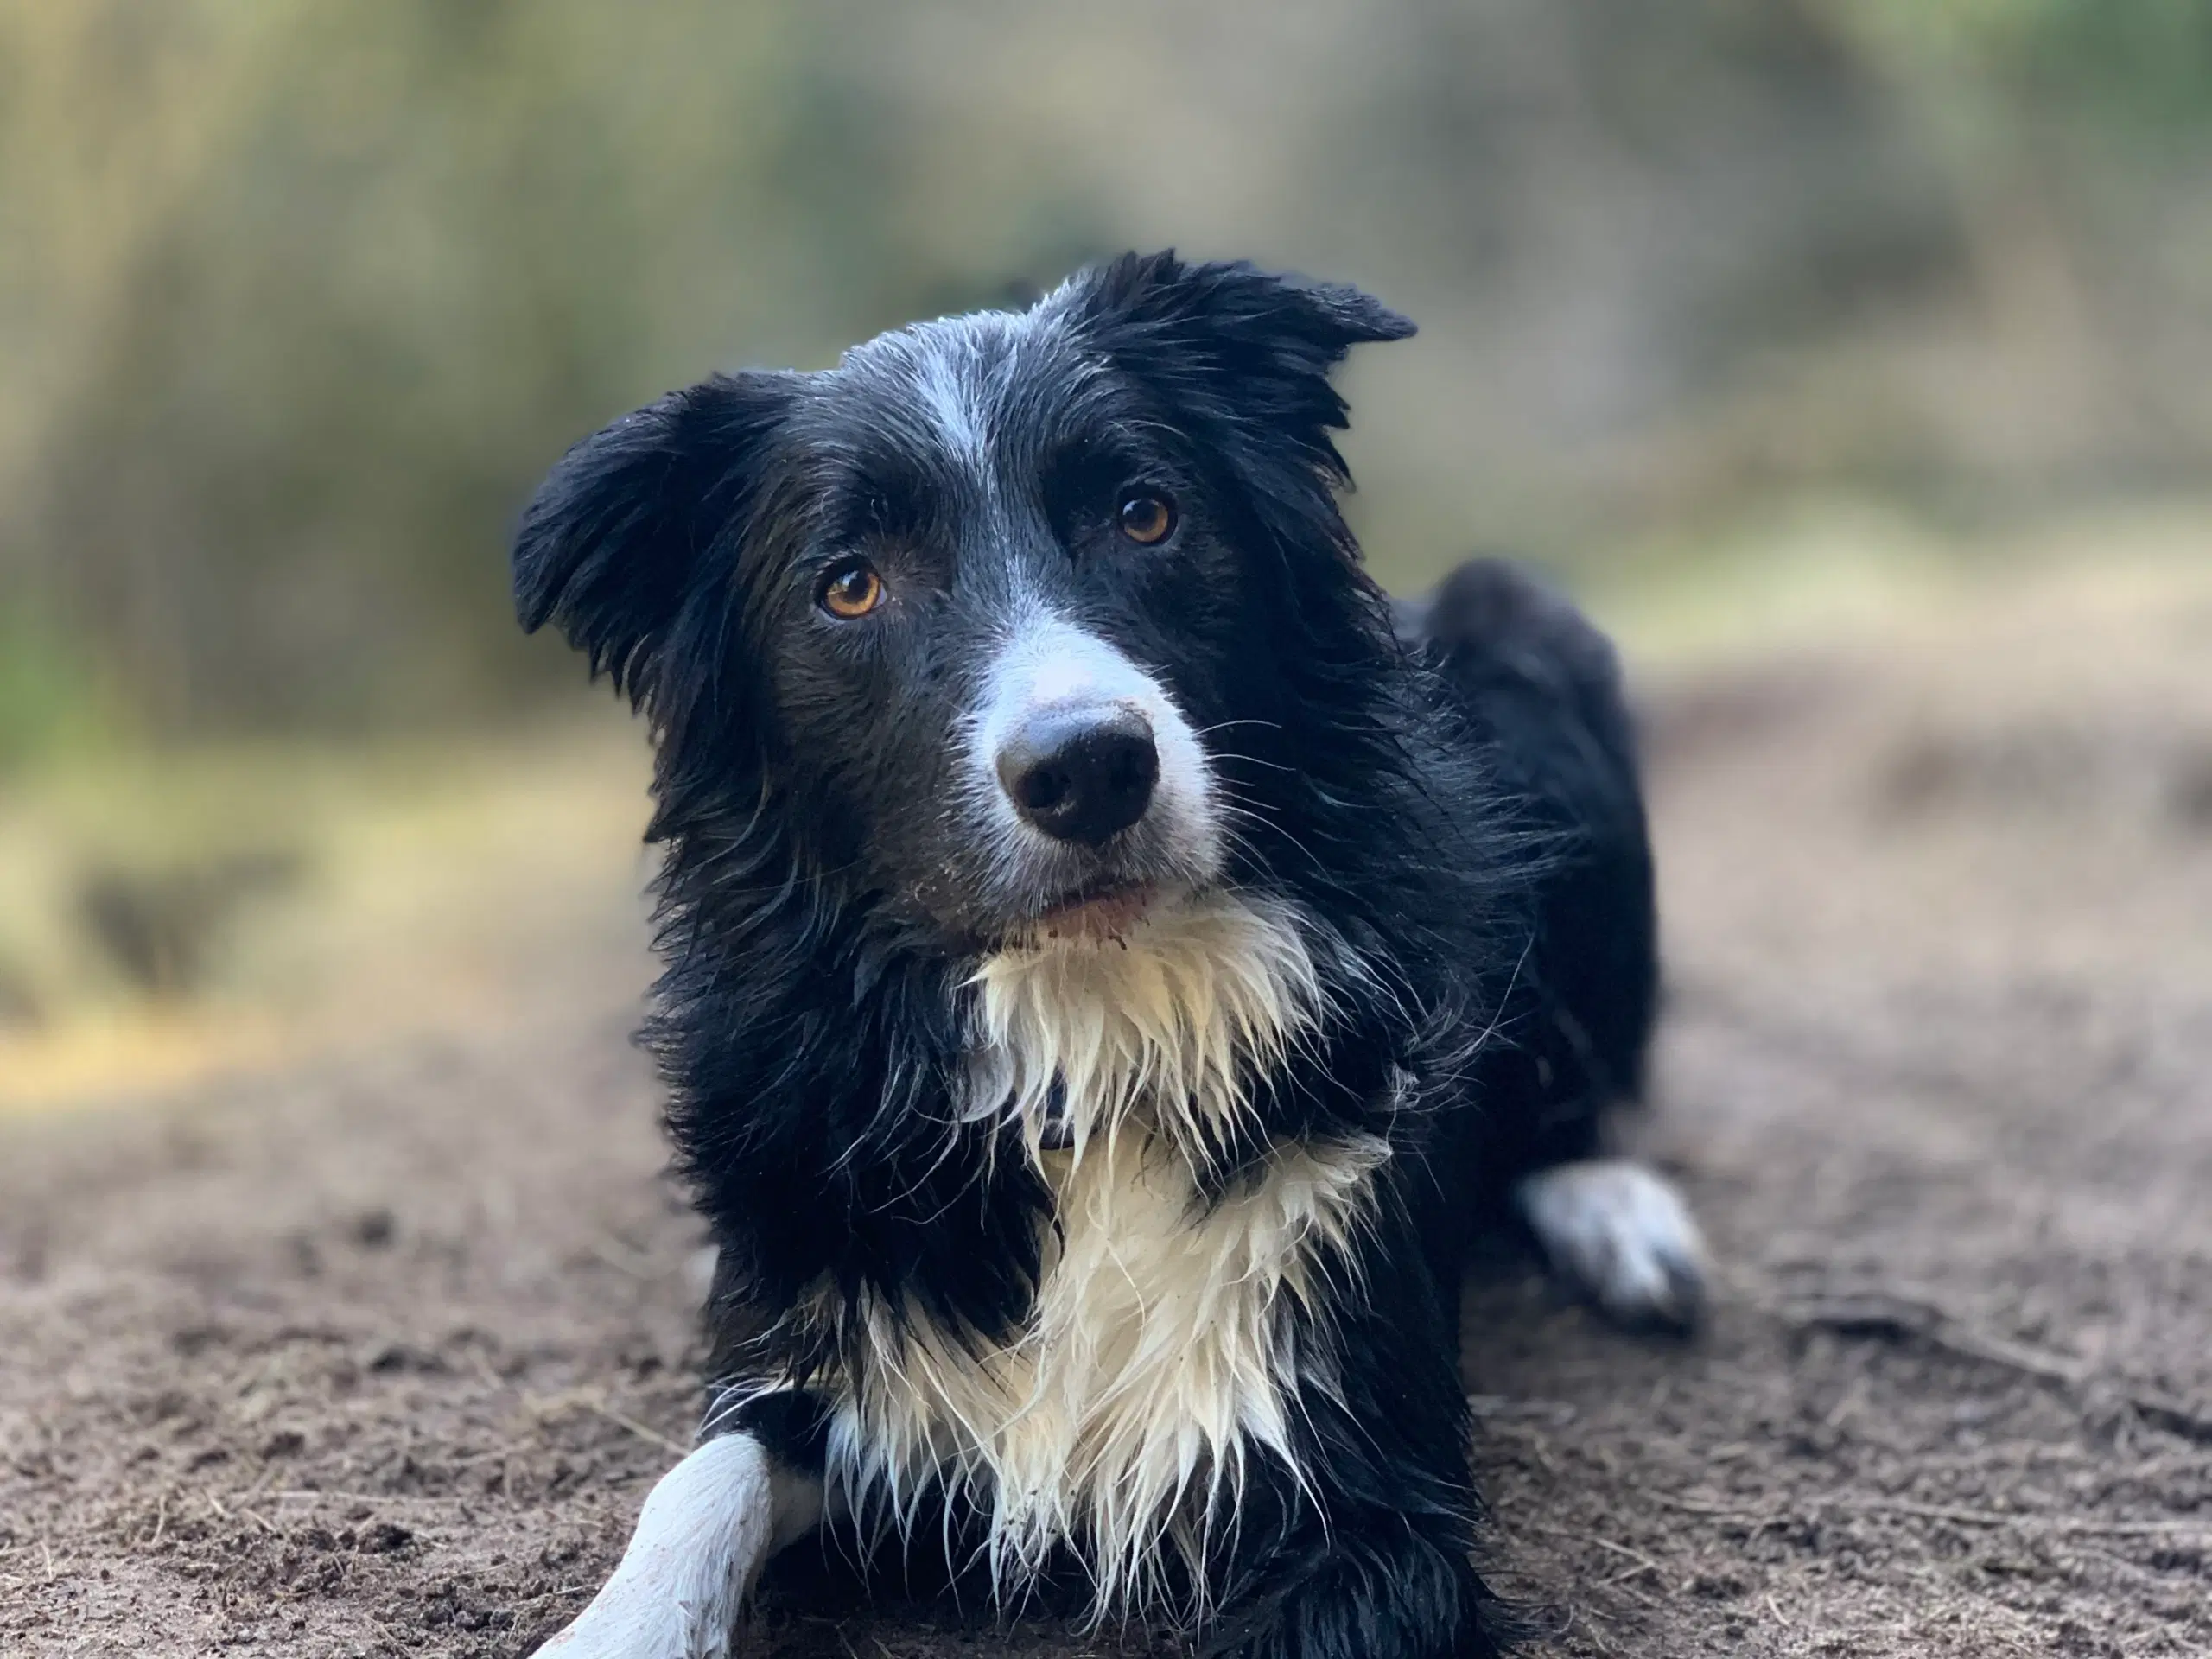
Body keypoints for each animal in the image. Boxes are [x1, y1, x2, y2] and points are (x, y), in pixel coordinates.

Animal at [518, 250, 1707, 1659]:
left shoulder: (1363, 1493)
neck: (1094, 1018)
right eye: (849, 584)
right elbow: (702, 1479)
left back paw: (1615, 1212)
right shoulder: (833, 1356)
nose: (1089, 769)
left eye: (1144, 515)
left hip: (1528, 634)